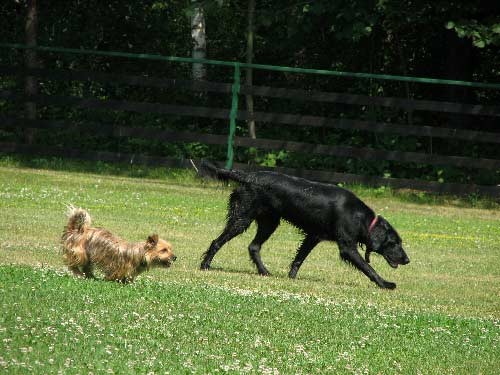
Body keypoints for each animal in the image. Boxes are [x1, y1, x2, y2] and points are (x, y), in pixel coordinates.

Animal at [199, 160, 410, 290]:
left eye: (399, 242)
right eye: (394, 243)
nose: (407, 260)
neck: (360, 217)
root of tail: (247, 176)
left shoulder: (314, 236)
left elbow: (299, 259)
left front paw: (292, 278)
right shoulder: (347, 247)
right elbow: (368, 268)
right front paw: (385, 284)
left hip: (270, 222)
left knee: (253, 247)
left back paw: (264, 272)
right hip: (242, 219)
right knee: (217, 242)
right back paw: (205, 265)